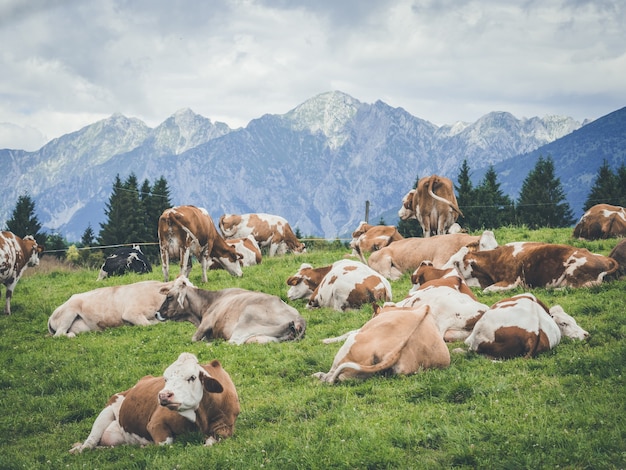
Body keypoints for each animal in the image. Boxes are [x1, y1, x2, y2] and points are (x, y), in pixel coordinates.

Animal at [68, 352, 238, 452]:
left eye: (192, 377)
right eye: (165, 379)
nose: (163, 395)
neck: (201, 418)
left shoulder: (225, 427)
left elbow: (212, 441)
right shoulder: (155, 423)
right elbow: (165, 443)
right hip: (107, 410)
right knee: (91, 441)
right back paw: (80, 449)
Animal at [154, 276, 304, 346]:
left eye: (169, 297)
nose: (156, 313)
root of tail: (299, 319)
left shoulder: (206, 323)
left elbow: (194, 339)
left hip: (246, 318)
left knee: (232, 342)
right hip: (260, 338)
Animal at [312, 302, 448, 384]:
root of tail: (393, 352)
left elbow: (350, 331)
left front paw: (325, 340)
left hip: (351, 342)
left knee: (330, 377)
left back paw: (318, 375)